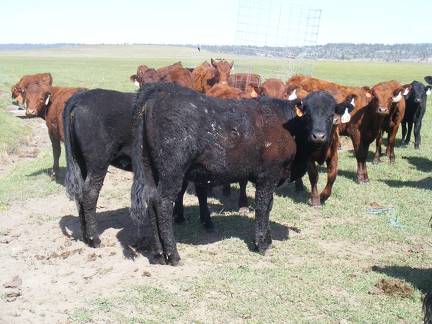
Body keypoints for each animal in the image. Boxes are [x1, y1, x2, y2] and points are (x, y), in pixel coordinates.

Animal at [62, 88, 135, 246]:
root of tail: (81, 96)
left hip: (81, 162)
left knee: (80, 194)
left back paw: (85, 237)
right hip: (98, 162)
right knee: (90, 193)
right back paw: (94, 239)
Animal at [130, 81, 346, 266]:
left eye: (331, 115)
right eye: (308, 114)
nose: (318, 136)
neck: (289, 128)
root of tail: (158, 92)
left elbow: (269, 207)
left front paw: (267, 239)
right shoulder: (268, 176)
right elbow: (262, 208)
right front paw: (261, 244)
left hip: (151, 170)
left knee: (151, 202)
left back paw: (159, 254)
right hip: (172, 172)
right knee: (163, 204)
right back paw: (173, 255)